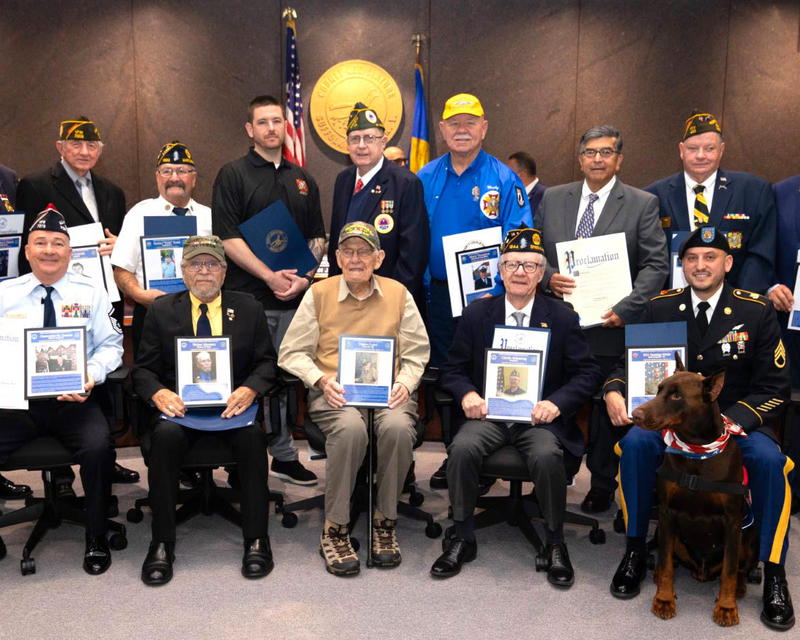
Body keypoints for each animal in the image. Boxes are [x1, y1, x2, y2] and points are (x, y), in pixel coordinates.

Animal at [632, 358, 756, 628]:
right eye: (659, 389)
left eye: (677, 395)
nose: (635, 415)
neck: (697, 451)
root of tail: (701, 572)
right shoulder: (667, 513)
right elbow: (666, 563)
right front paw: (664, 599)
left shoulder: (732, 521)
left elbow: (729, 570)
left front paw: (726, 607)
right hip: (664, 532)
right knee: (670, 559)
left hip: (749, 536)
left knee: (739, 568)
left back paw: (739, 588)